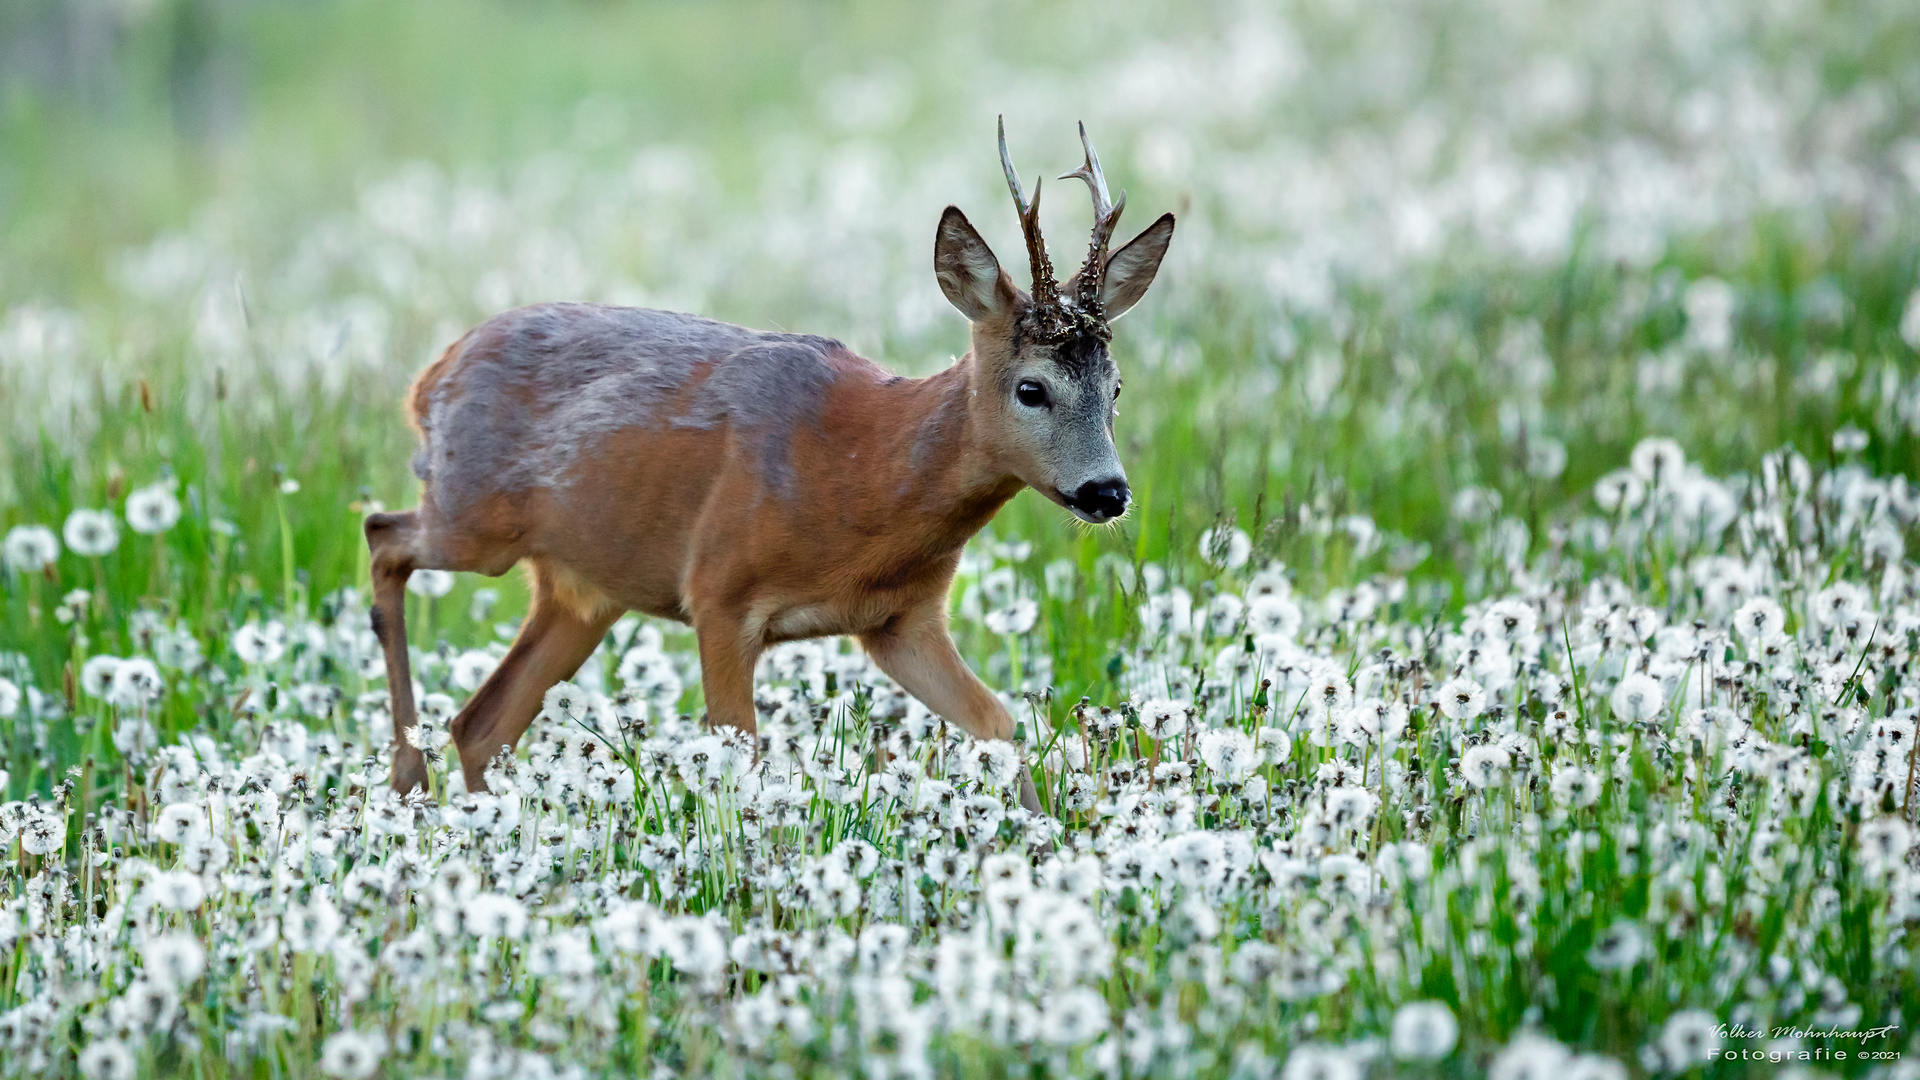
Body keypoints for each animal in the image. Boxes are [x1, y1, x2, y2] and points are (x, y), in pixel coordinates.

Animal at [359, 119, 1167, 807]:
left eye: (1115, 388)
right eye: (1032, 387)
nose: (1107, 491)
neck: (863, 473)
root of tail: (429, 377)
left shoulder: (902, 620)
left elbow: (998, 725)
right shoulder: (718, 591)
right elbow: (737, 757)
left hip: (581, 591)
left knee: (481, 723)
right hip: (472, 515)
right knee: (383, 535)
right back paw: (405, 774)